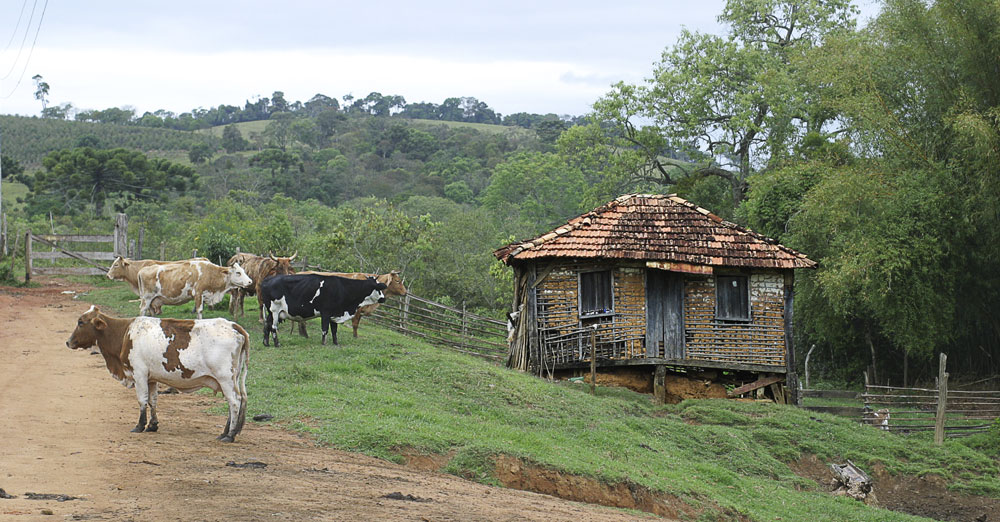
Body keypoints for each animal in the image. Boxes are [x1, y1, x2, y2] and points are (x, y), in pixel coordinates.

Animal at [66, 302, 250, 440]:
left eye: (81, 322)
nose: (68, 342)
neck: (125, 334)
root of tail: (234, 326)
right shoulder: (151, 378)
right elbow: (152, 400)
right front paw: (152, 425)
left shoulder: (139, 374)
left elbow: (142, 400)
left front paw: (140, 425)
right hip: (232, 378)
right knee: (234, 402)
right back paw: (226, 432)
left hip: (225, 378)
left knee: (234, 401)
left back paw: (230, 435)